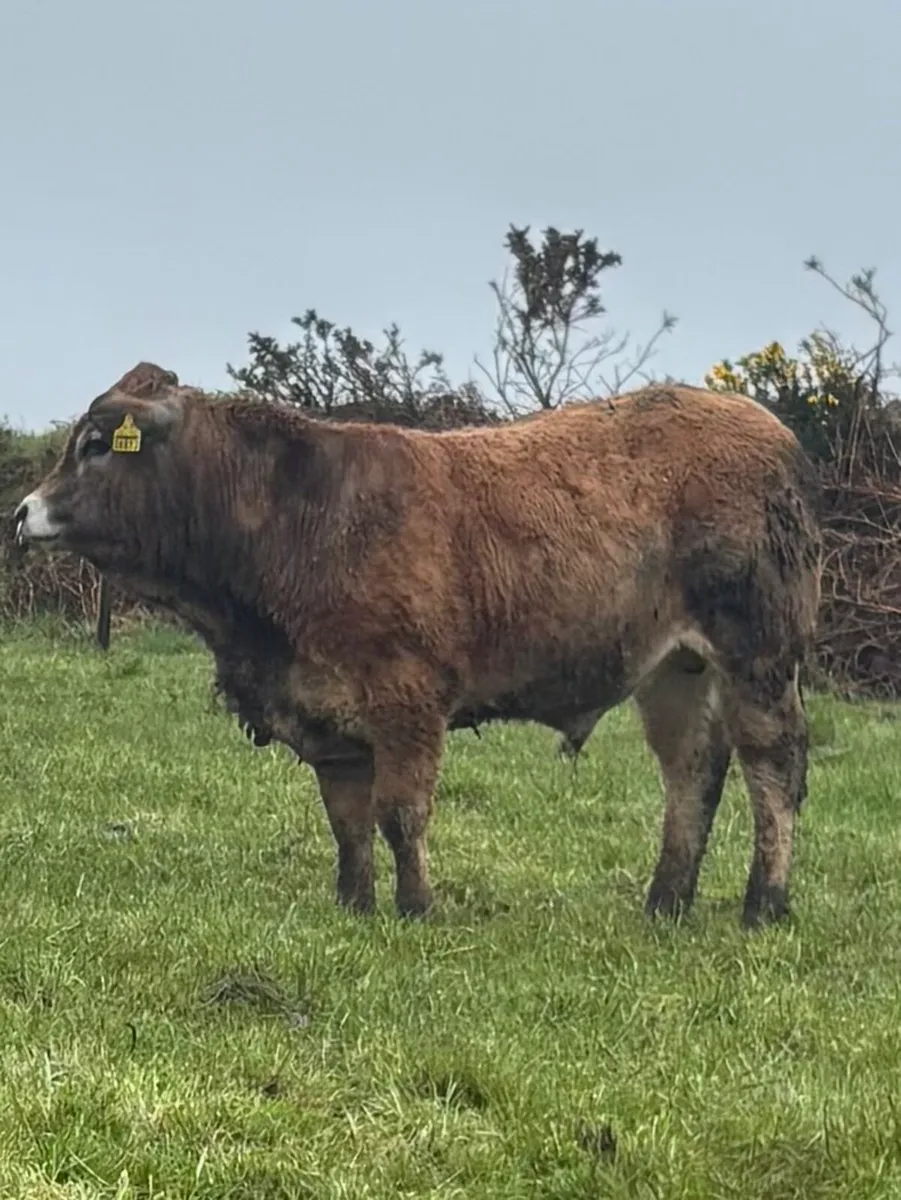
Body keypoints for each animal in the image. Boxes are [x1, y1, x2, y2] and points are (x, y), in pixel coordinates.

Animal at [13, 363, 822, 928]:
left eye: (96, 445)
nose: (23, 512)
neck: (296, 516)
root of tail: (769, 430)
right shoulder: (327, 710)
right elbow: (347, 820)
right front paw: (354, 903)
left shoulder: (406, 698)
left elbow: (401, 812)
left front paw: (415, 907)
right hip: (675, 669)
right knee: (692, 772)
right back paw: (665, 901)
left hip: (758, 654)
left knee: (772, 767)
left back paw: (764, 903)